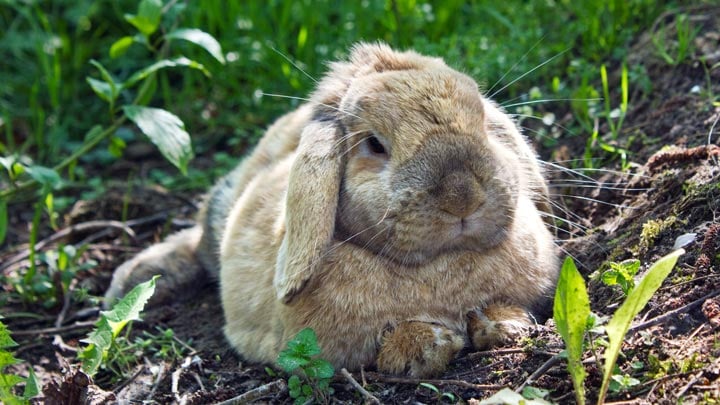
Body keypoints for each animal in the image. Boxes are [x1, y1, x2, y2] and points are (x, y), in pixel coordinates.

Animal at [104, 42, 560, 378]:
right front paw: (424, 346)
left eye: (483, 121)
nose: (461, 196)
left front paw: (505, 324)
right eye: (374, 144)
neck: (438, 267)